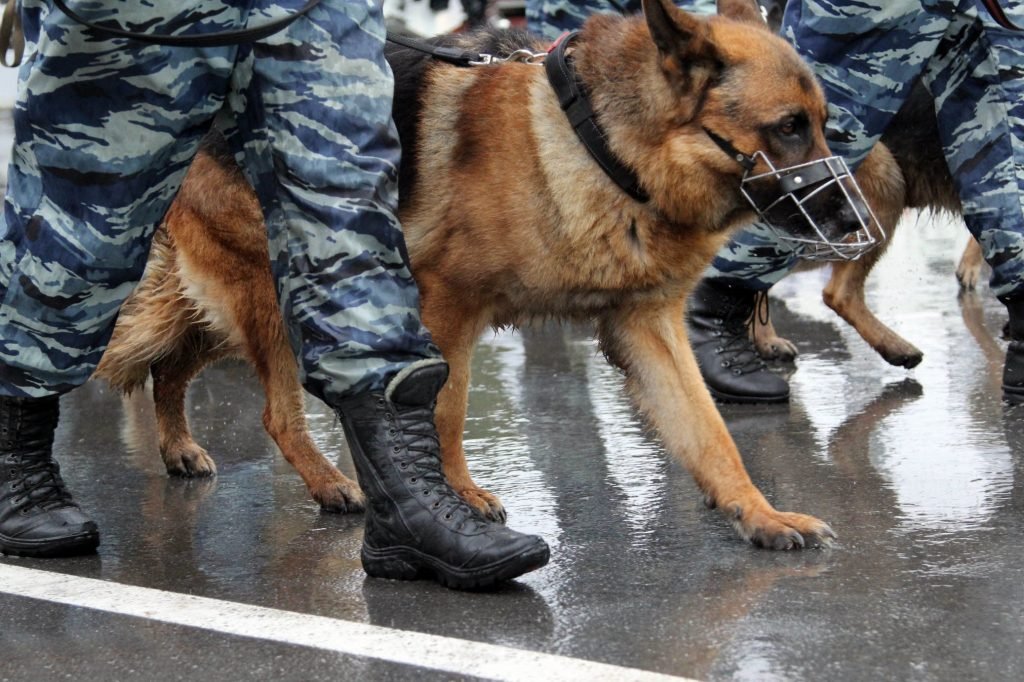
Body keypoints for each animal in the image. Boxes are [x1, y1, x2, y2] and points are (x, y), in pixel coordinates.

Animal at [94, 0, 872, 544]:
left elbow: (711, 433)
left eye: (823, 123)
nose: (855, 219)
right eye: (788, 127)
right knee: (273, 412)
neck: (602, 148)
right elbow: (446, 409)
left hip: (238, 304)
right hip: (285, 292)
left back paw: (179, 447)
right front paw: (458, 499)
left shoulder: (649, 327)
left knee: (169, 364)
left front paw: (761, 516)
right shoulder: (447, 308)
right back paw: (330, 485)